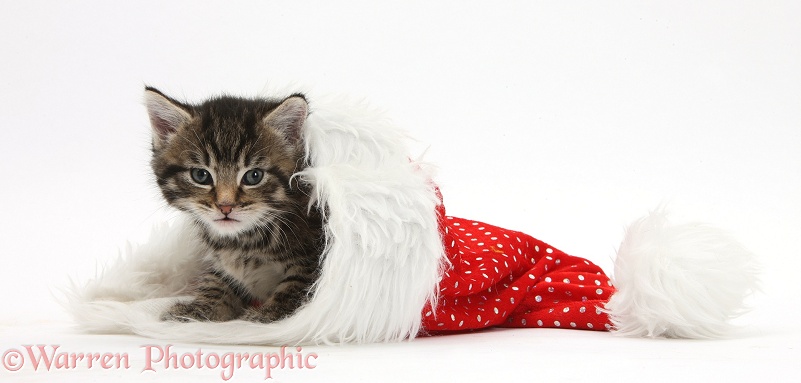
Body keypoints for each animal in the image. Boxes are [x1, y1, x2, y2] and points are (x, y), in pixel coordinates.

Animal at [144, 87, 322, 324]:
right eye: (200, 175)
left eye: (254, 176)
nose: (225, 206)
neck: (245, 241)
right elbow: (217, 282)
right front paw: (200, 308)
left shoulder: (316, 254)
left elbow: (300, 285)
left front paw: (270, 313)